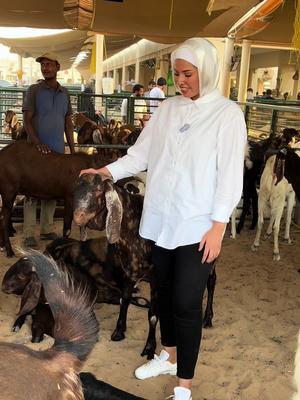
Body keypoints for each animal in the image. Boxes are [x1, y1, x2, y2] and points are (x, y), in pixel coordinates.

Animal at [73, 175, 218, 360]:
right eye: (76, 189)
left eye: (98, 189)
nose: (78, 216)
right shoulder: (128, 272)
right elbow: (124, 300)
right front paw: (119, 331)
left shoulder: (156, 279)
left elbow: (153, 315)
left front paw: (150, 347)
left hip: (210, 256)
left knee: (211, 282)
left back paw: (207, 318)